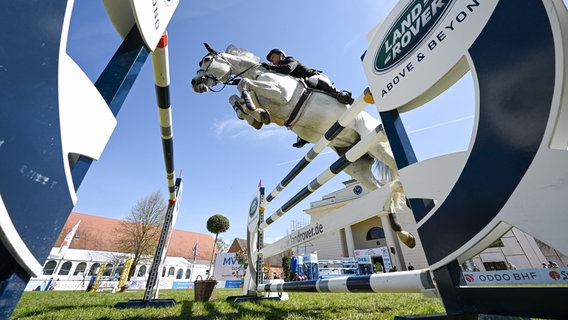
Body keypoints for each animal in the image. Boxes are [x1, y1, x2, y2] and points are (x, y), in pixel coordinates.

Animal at [189, 43, 414, 248]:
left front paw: (255, 112)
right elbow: (236, 98)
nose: (195, 83)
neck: (259, 72)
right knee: (382, 190)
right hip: (356, 167)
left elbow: (243, 83)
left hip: (377, 144)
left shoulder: (279, 92)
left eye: (206, 60)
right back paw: (405, 234)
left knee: (396, 172)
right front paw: (254, 116)